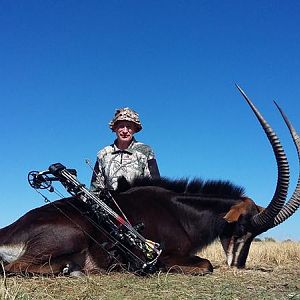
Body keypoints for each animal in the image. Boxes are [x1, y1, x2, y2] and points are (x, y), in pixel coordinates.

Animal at [0, 85, 300, 276]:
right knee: (13, 267)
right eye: (242, 228)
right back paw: (70, 270)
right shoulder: (166, 254)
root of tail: (8, 231)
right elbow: (206, 265)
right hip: (72, 234)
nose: (238, 265)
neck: (182, 212)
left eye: (255, 235)